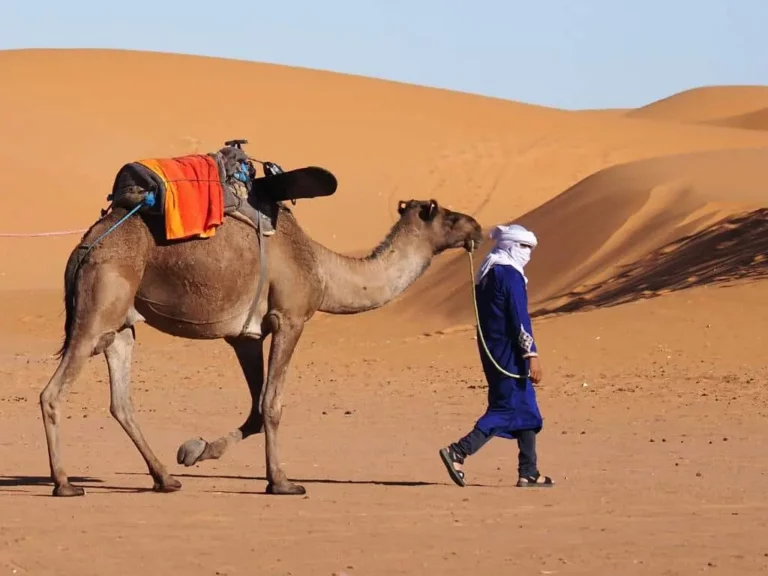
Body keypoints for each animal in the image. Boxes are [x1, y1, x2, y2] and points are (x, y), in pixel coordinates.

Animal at [40, 196, 483, 497]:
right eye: (448, 215)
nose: (478, 228)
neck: (324, 269)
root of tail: (84, 246)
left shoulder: (245, 336)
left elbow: (255, 408)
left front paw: (195, 450)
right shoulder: (290, 318)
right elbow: (272, 404)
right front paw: (282, 482)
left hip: (121, 326)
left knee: (121, 402)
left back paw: (166, 477)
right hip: (98, 309)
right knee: (53, 393)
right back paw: (64, 483)